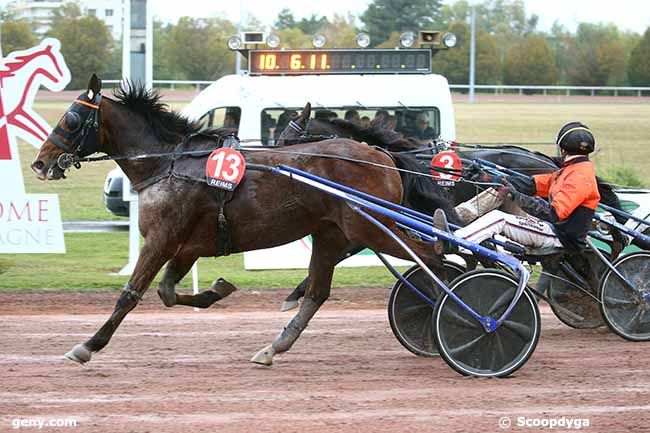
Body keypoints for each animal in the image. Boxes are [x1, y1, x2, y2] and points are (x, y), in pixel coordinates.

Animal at [30, 76, 446, 366]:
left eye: (70, 119)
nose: (40, 162)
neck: (167, 165)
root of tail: (381, 155)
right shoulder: (188, 245)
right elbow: (167, 293)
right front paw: (218, 288)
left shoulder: (161, 239)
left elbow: (130, 294)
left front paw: (87, 345)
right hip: (330, 232)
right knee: (316, 293)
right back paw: (273, 347)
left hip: (371, 225)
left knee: (433, 256)